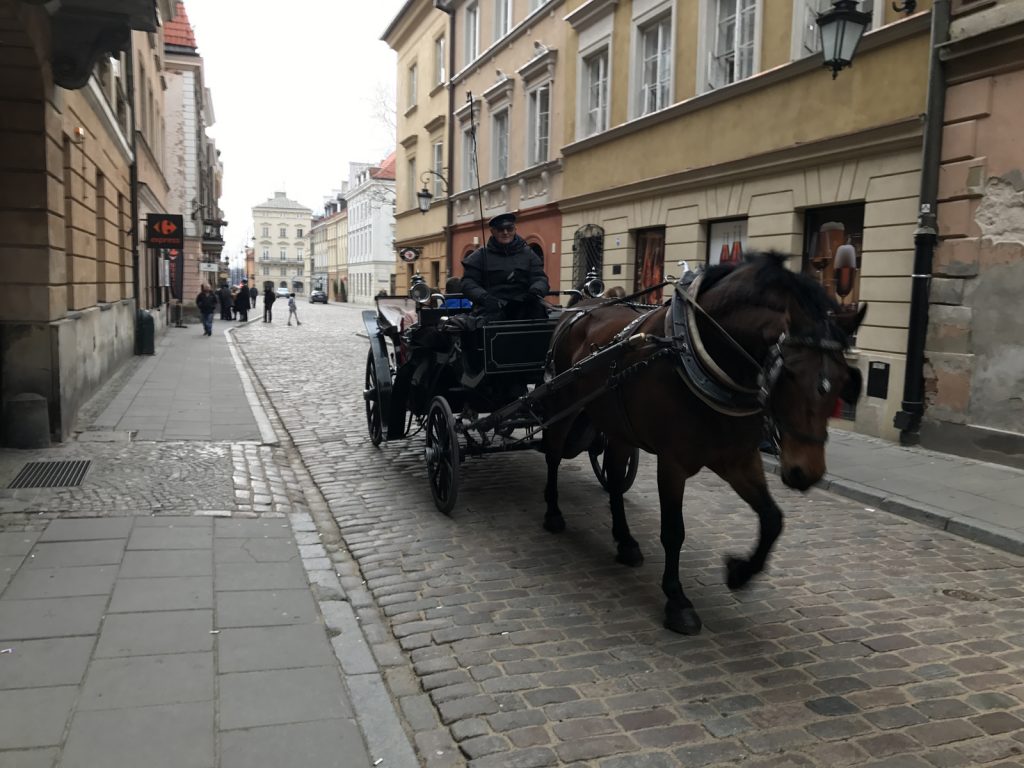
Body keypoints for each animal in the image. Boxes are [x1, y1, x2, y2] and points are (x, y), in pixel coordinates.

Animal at [544, 252, 864, 638]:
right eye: (789, 372)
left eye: (844, 381)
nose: (806, 472)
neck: (698, 355)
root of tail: (581, 306)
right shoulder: (672, 463)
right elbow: (673, 531)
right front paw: (677, 601)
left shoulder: (739, 458)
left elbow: (772, 519)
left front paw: (740, 572)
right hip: (562, 407)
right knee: (552, 455)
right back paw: (553, 512)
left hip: (618, 427)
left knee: (616, 482)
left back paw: (625, 541)